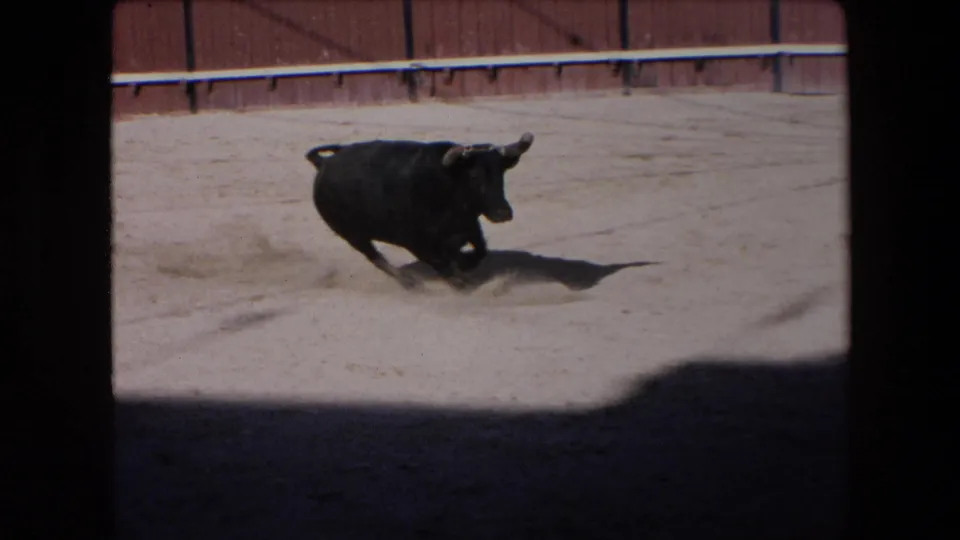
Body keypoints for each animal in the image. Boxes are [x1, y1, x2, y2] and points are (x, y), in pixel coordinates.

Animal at [304, 132, 535, 291]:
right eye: (474, 176)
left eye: (501, 173)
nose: (503, 212)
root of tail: (323, 163)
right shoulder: (416, 243)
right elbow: (444, 265)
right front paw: (460, 278)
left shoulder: (469, 226)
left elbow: (480, 251)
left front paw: (464, 262)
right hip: (353, 235)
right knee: (375, 257)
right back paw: (409, 283)